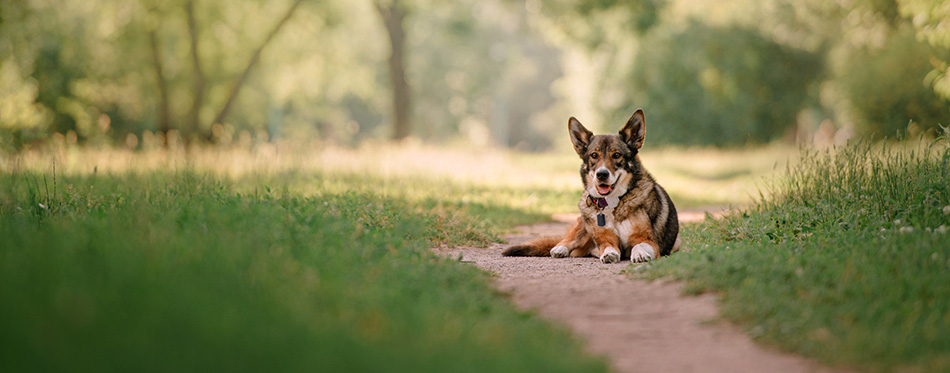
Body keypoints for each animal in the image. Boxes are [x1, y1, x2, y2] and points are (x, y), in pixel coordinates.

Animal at [502, 109, 680, 264]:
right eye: (594, 155)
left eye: (616, 155)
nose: (602, 174)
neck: (611, 205)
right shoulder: (605, 239)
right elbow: (608, 246)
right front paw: (609, 254)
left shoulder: (647, 240)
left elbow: (639, 246)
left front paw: (640, 254)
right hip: (583, 222)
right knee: (566, 241)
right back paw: (559, 249)